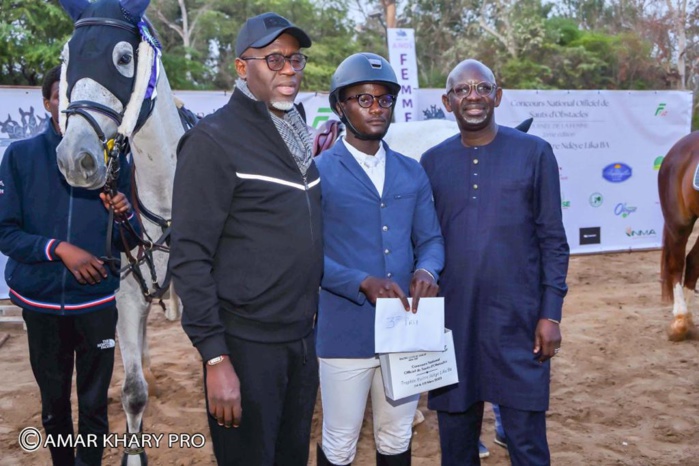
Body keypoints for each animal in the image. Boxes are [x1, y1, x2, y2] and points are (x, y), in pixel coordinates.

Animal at [56, 0, 182, 462]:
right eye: (67, 57)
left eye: (124, 59)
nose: (75, 159)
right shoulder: (127, 295)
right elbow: (132, 392)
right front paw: (133, 454)